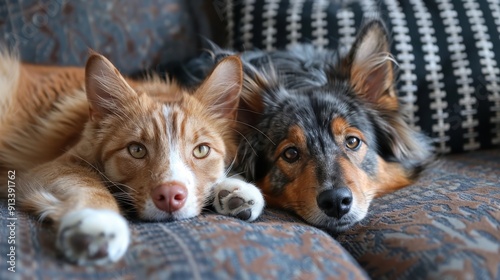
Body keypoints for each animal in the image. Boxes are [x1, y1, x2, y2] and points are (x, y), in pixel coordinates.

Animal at [0, 52, 266, 264]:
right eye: (136, 150)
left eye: (201, 150)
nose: (170, 196)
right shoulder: (49, 167)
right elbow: (86, 180)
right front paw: (98, 219)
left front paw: (234, 188)